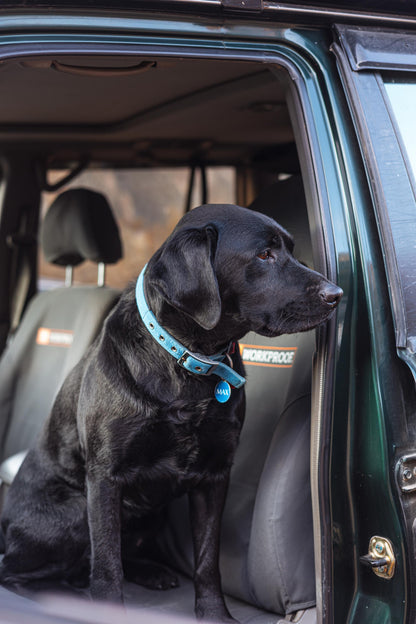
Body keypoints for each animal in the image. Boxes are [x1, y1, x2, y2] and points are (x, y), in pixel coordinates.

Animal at [0, 204, 342, 620]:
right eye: (264, 254)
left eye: (291, 250)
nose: (337, 294)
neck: (187, 360)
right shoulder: (104, 478)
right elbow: (107, 566)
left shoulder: (214, 476)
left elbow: (207, 560)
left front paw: (214, 615)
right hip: (75, 509)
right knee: (19, 571)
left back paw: (148, 572)